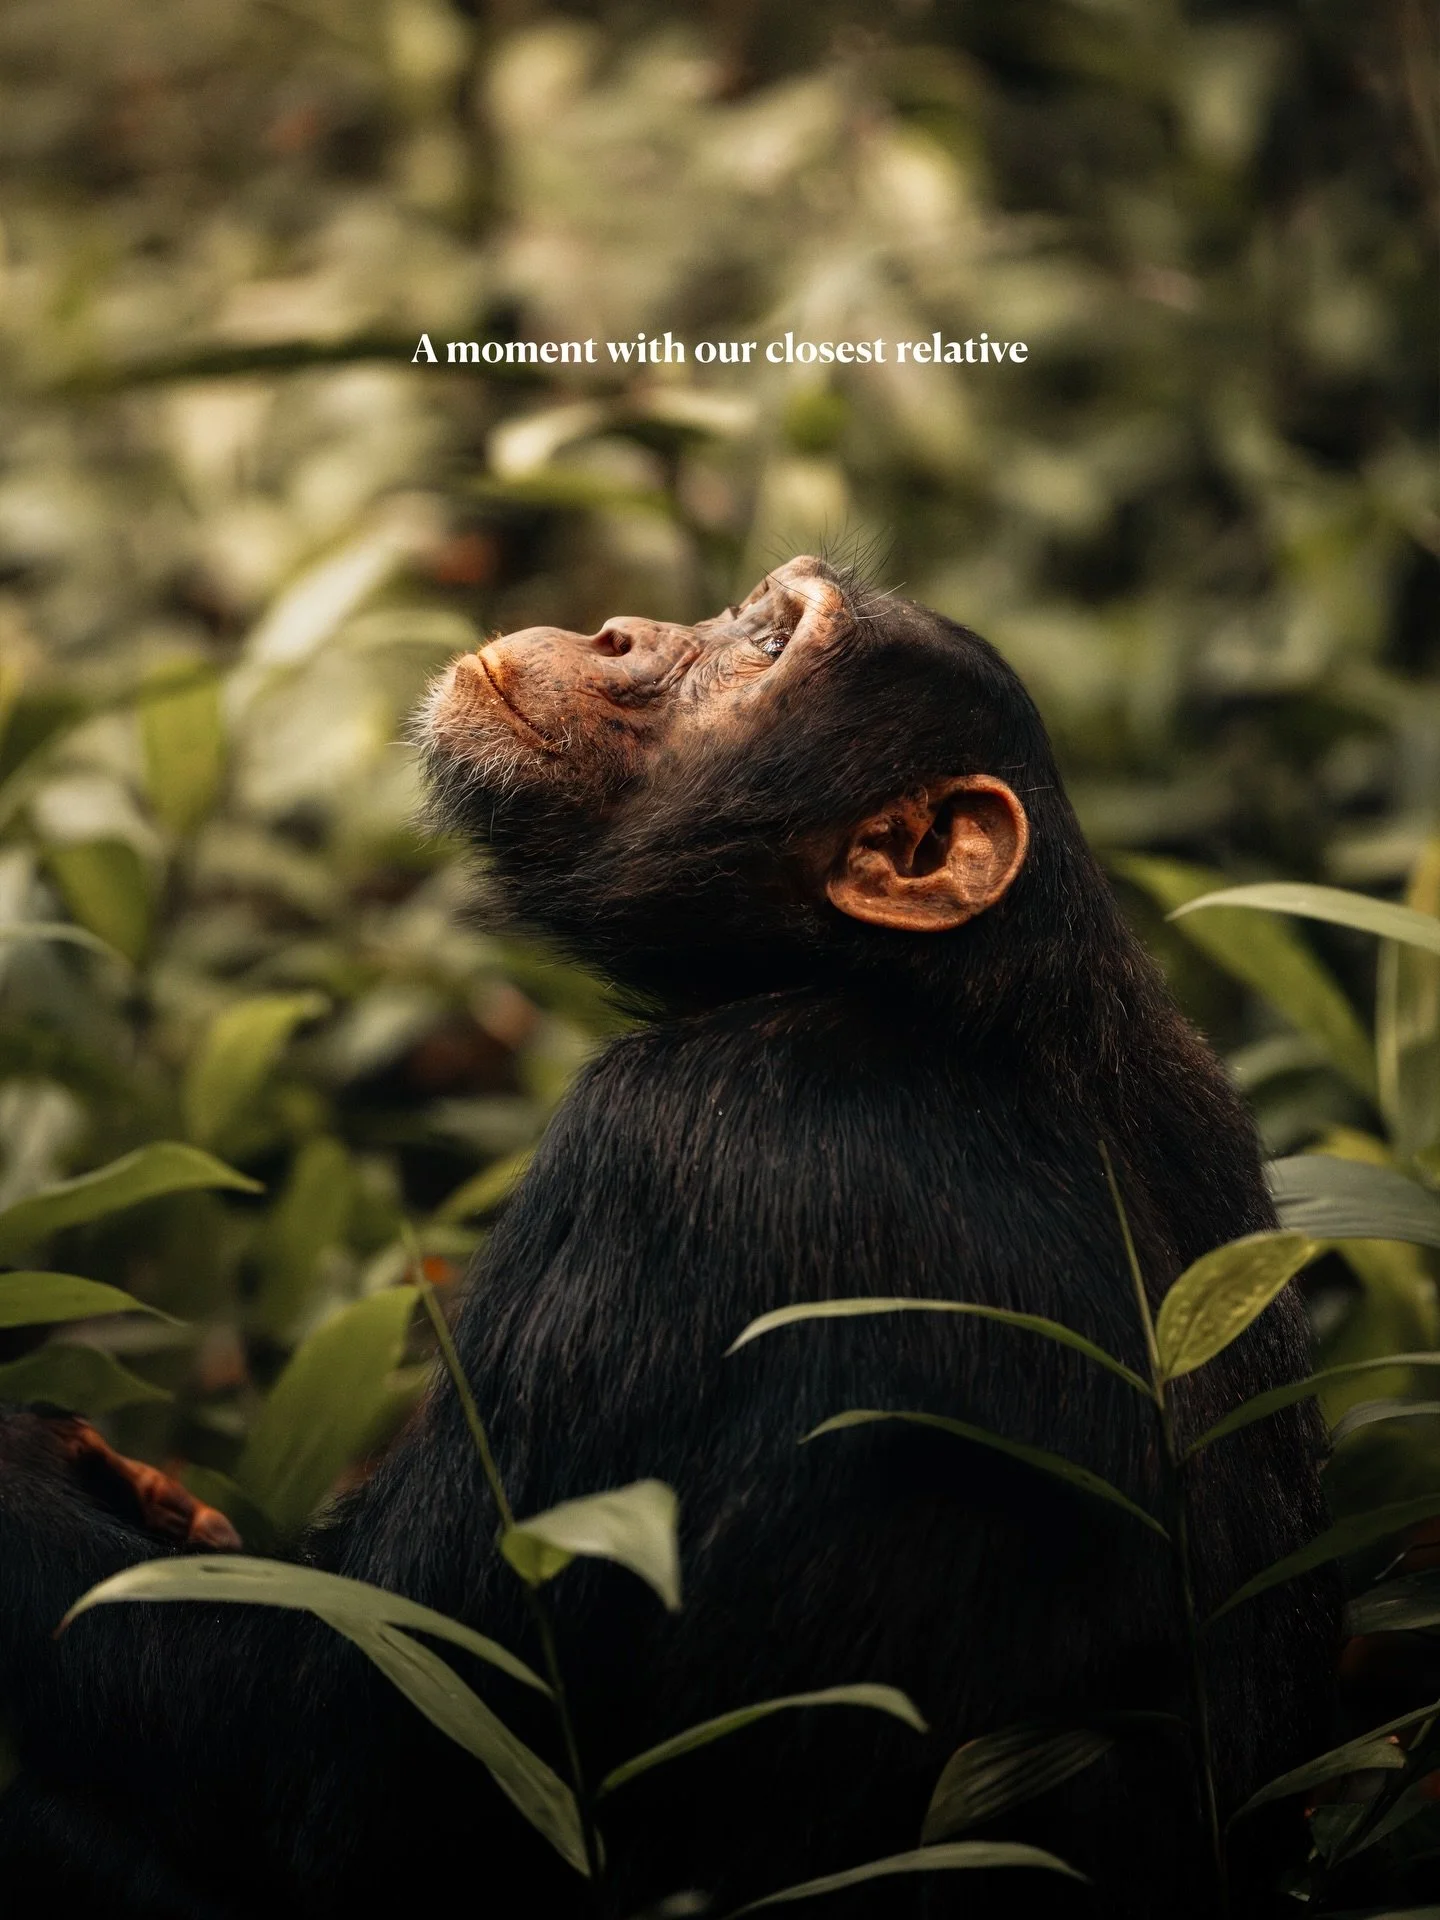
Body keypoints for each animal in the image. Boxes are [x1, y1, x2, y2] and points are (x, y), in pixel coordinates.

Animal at [0, 556, 1335, 1918]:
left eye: (767, 646)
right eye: (753, 606)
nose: (619, 629)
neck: (943, 994)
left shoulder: (667, 1141)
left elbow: (352, 1746)